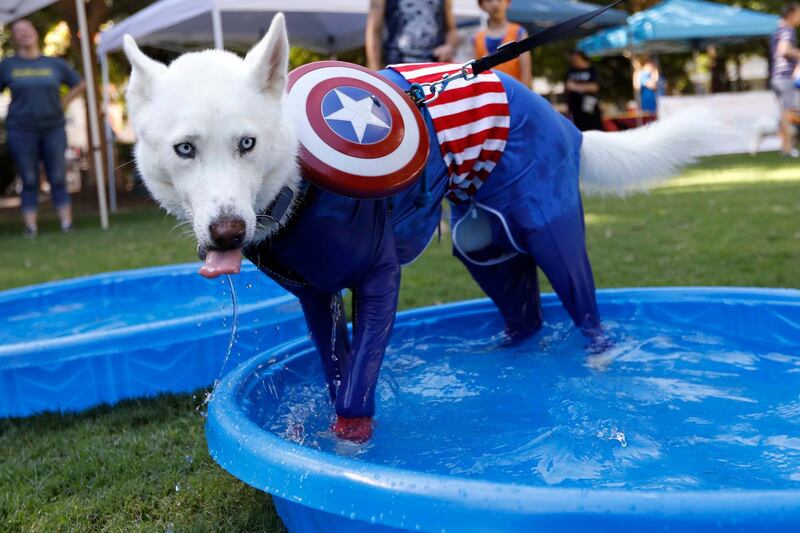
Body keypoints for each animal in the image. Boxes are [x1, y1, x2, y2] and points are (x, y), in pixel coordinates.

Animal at [123, 13, 712, 440]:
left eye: (246, 143)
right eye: (185, 149)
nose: (227, 234)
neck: (301, 183)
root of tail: (563, 120)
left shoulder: (380, 278)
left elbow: (358, 387)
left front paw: (352, 446)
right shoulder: (316, 297)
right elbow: (336, 371)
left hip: (549, 229)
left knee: (585, 308)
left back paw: (598, 364)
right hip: (483, 246)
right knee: (524, 313)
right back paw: (504, 356)